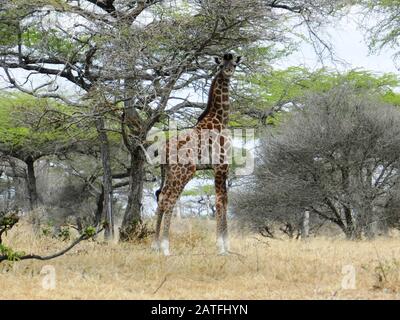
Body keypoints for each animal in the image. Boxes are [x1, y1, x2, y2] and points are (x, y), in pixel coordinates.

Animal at [152, 53, 241, 256]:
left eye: (233, 64)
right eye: (221, 64)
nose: (228, 71)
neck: (220, 119)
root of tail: (163, 149)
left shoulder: (222, 167)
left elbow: (225, 200)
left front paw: (227, 246)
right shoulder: (221, 165)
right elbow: (220, 201)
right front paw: (221, 247)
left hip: (170, 173)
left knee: (162, 197)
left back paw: (155, 245)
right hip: (185, 171)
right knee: (169, 200)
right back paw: (166, 248)